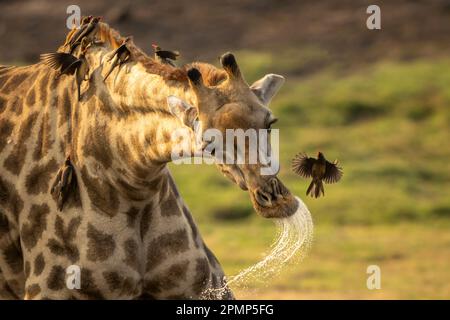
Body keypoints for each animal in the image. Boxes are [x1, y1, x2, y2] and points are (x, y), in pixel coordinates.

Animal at [0, 23, 298, 300]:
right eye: (209, 144)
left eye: (270, 123)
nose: (278, 201)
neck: (134, 182)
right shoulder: (49, 289)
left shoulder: (204, 287)